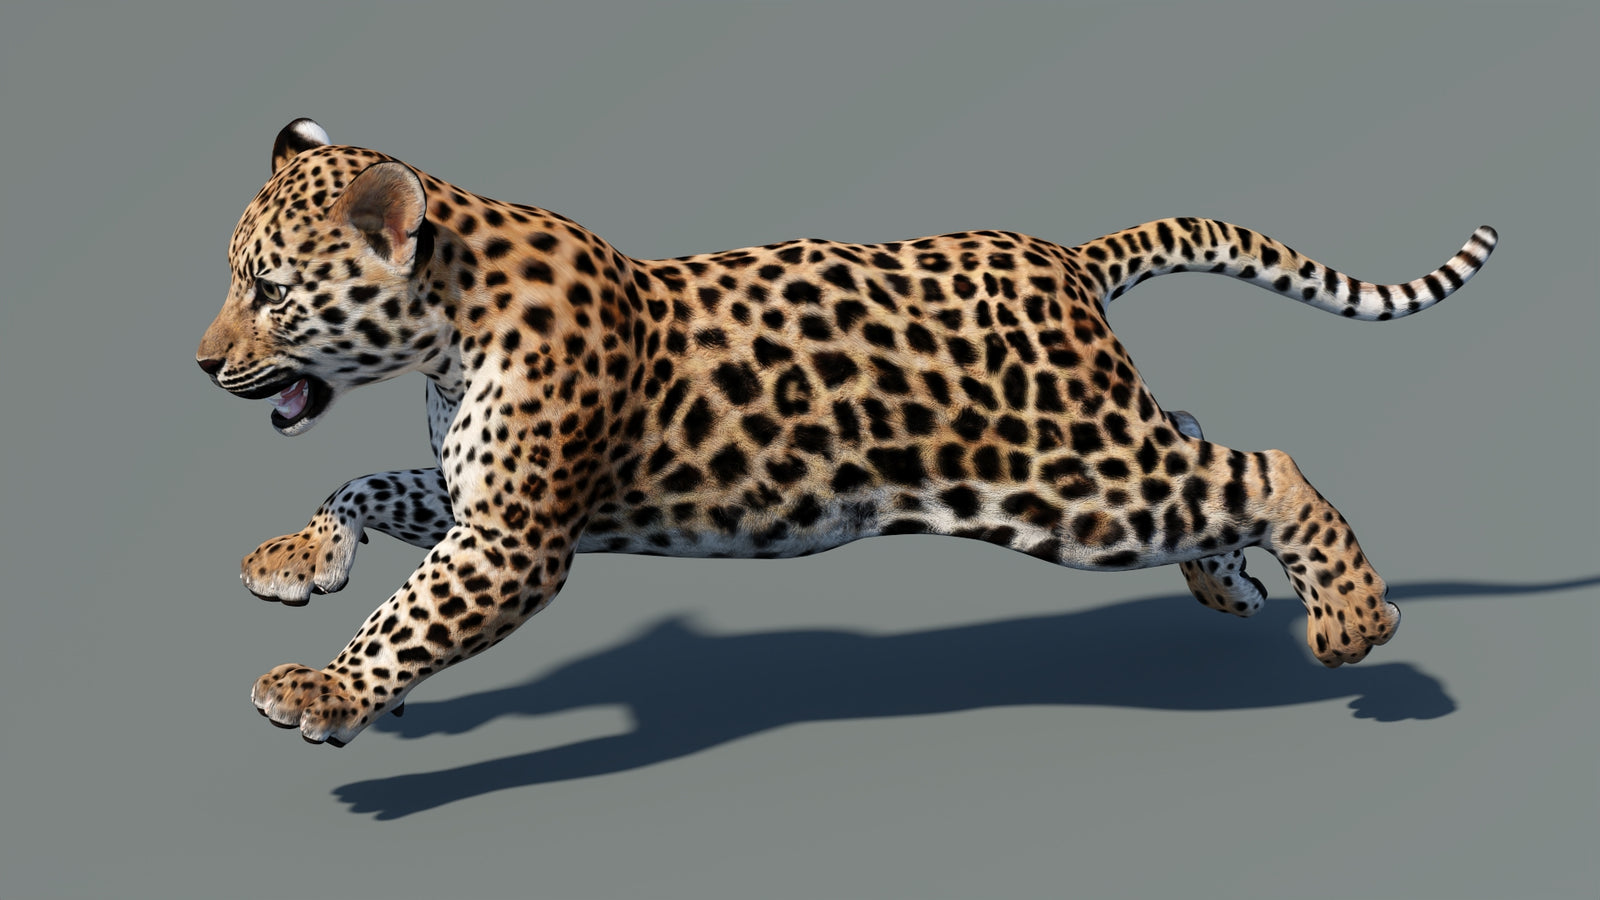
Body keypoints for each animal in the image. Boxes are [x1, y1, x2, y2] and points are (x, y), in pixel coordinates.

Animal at [198, 118, 1497, 747]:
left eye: (267, 291)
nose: (203, 364)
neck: (444, 326)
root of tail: (1067, 256)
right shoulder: (478, 502)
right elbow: (367, 483)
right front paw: (298, 561)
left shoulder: (515, 536)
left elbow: (409, 613)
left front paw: (326, 690)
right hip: (1096, 457)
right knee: (1190, 428)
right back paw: (1228, 585)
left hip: (1072, 486)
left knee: (1264, 464)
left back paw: (1350, 622)